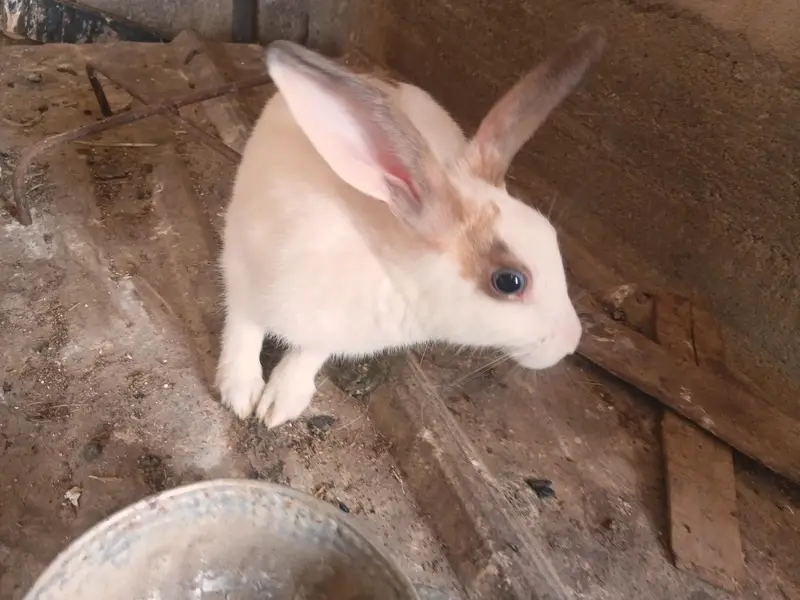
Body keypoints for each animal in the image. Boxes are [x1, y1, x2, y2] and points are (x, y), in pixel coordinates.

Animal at [215, 26, 607, 428]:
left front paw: (280, 403)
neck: (388, 266)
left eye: (552, 237)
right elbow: (242, 330)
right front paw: (240, 394)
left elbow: (306, 355)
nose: (570, 342)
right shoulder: (242, 274)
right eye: (510, 281)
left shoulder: (331, 334)